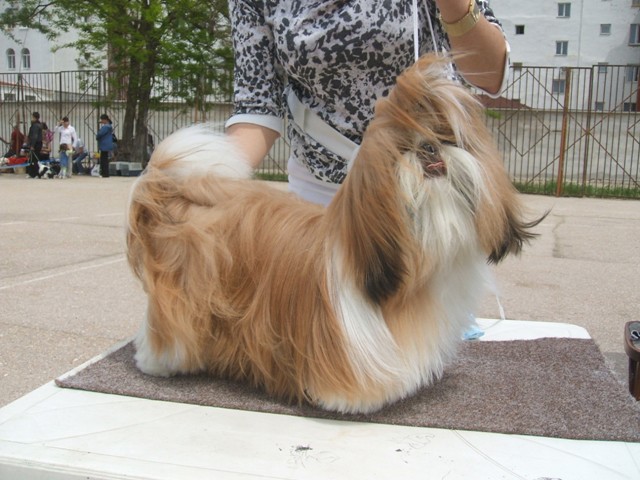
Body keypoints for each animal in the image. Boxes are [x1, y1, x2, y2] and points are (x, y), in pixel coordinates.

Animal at [126, 54, 543, 414]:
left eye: (446, 138)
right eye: (401, 147)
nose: (428, 149)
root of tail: (167, 191)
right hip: (182, 299)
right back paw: (157, 361)